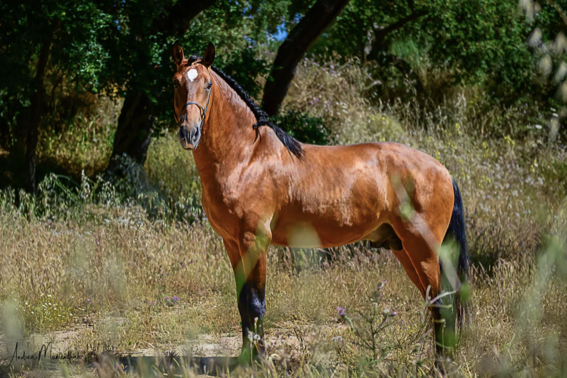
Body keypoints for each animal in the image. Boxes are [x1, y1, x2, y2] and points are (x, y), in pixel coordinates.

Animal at [172, 41, 470, 366]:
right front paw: (244, 360)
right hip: (405, 249)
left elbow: (255, 303)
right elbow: (242, 304)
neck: (246, 157)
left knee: (442, 304)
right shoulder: (232, 243)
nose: (189, 133)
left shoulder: (255, 240)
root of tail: (442, 170)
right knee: (435, 302)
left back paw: (442, 365)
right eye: (176, 83)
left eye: (208, 84)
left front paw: (260, 362)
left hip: (424, 249)